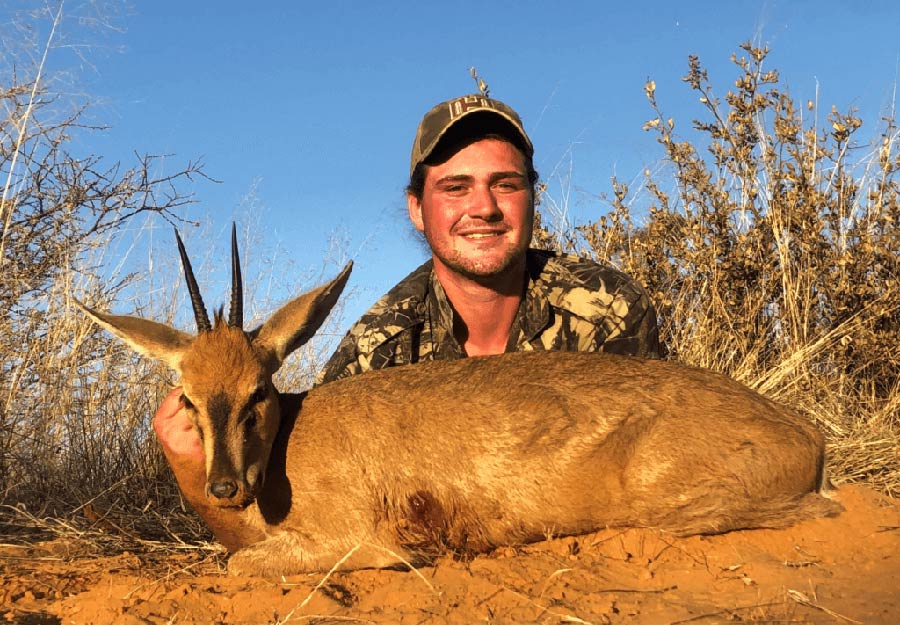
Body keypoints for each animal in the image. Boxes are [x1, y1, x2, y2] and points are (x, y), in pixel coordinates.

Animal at [76, 227, 842, 577]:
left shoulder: (363, 542)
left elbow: (241, 563)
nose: (225, 486)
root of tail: (808, 433)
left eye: (258, 390)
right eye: (187, 398)